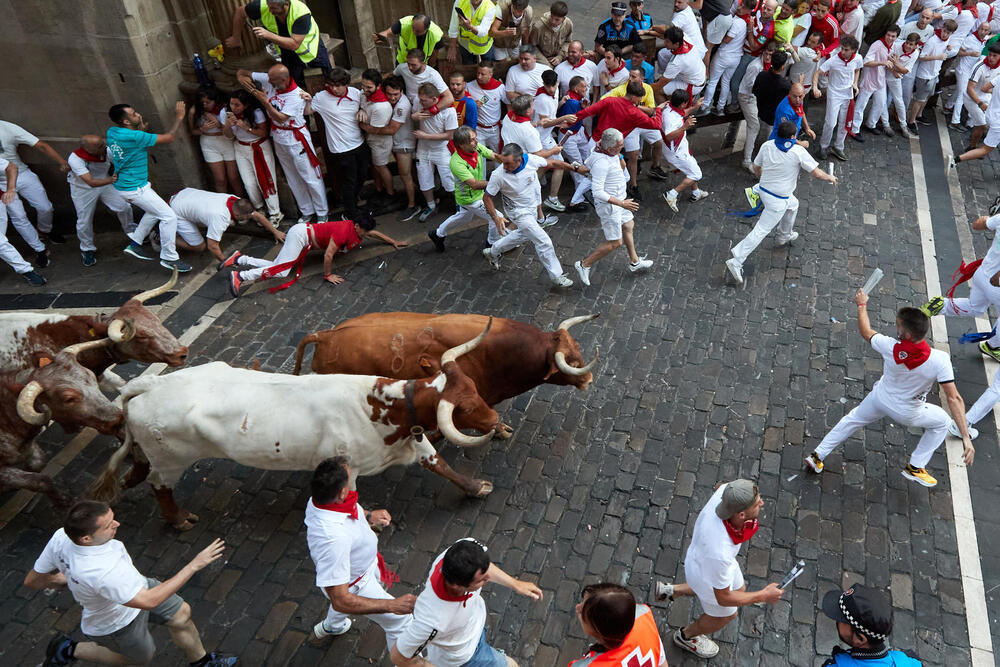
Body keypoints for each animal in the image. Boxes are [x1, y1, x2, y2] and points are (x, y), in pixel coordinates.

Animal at [1, 342, 125, 504]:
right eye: (69, 399)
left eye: (92, 376)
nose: (117, 419)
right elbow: (41, 480)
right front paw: (63, 500)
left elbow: (38, 463)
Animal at [91, 320, 504, 528]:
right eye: (467, 407)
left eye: (474, 388)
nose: (496, 419)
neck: (381, 407)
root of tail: (150, 384)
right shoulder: (348, 466)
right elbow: (352, 500)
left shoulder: (413, 442)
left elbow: (441, 464)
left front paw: (475, 487)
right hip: (170, 460)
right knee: (160, 485)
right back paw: (178, 519)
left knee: (139, 471)